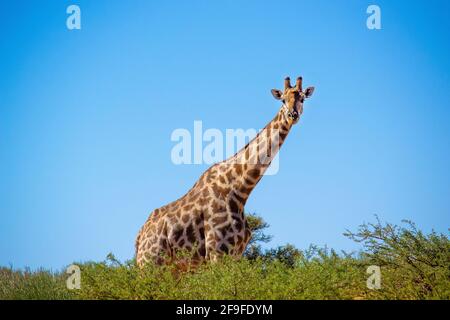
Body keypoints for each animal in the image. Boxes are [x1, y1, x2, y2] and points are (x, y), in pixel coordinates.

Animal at [135, 75, 314, 268]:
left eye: (302, 98)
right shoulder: (217, 252)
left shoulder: (235, 254)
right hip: (151, 263)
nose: (292, 115)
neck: (240, 189)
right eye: (283, 100)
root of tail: (139, 237)